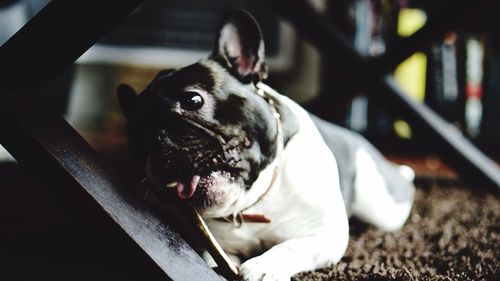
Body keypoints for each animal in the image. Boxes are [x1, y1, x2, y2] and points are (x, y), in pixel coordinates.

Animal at [117, 9, 414, 278]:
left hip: (383, 208)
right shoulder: (218, 247)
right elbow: (216, 259)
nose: (158, 139)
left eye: (192, 100)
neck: (253, 204)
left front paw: (263, 266)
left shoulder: (323, 235)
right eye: (136, 140)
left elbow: (292, 247)